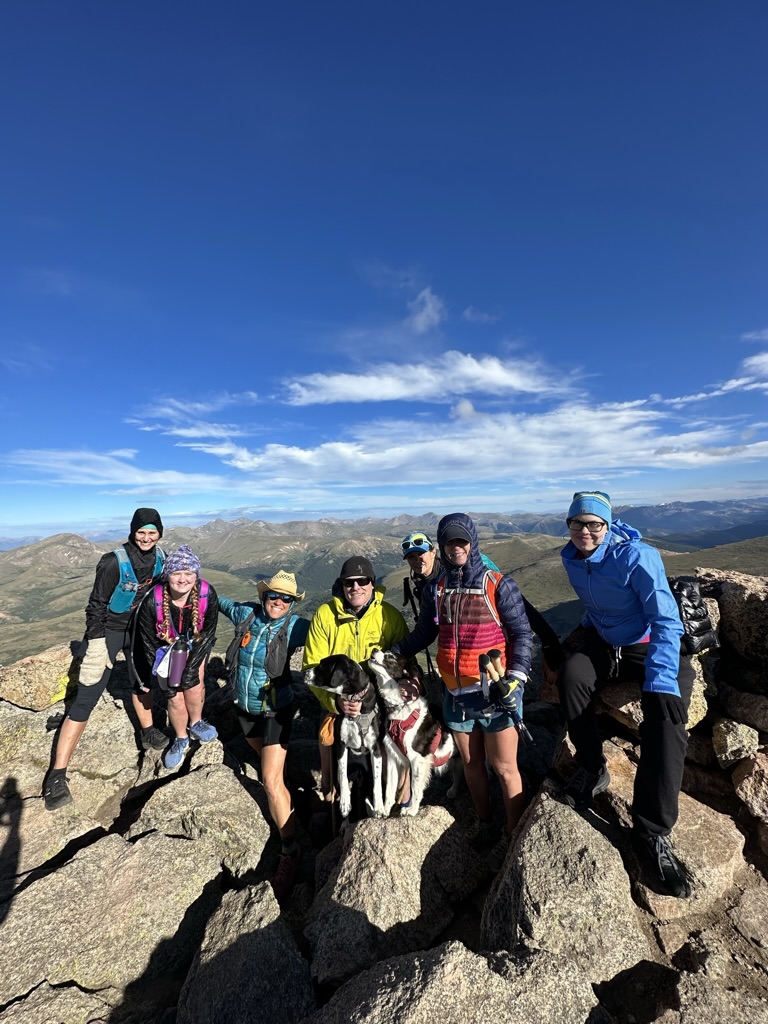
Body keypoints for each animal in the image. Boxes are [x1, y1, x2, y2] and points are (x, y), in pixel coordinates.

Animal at [370, 647, 460, 815]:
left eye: (390, 657)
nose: (374, 649)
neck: (400, 709)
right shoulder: (393, 757)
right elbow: (390, 789)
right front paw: (386, 810)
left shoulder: (418, 759)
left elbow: (415, 787)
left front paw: (412, 809)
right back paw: (453, 791)